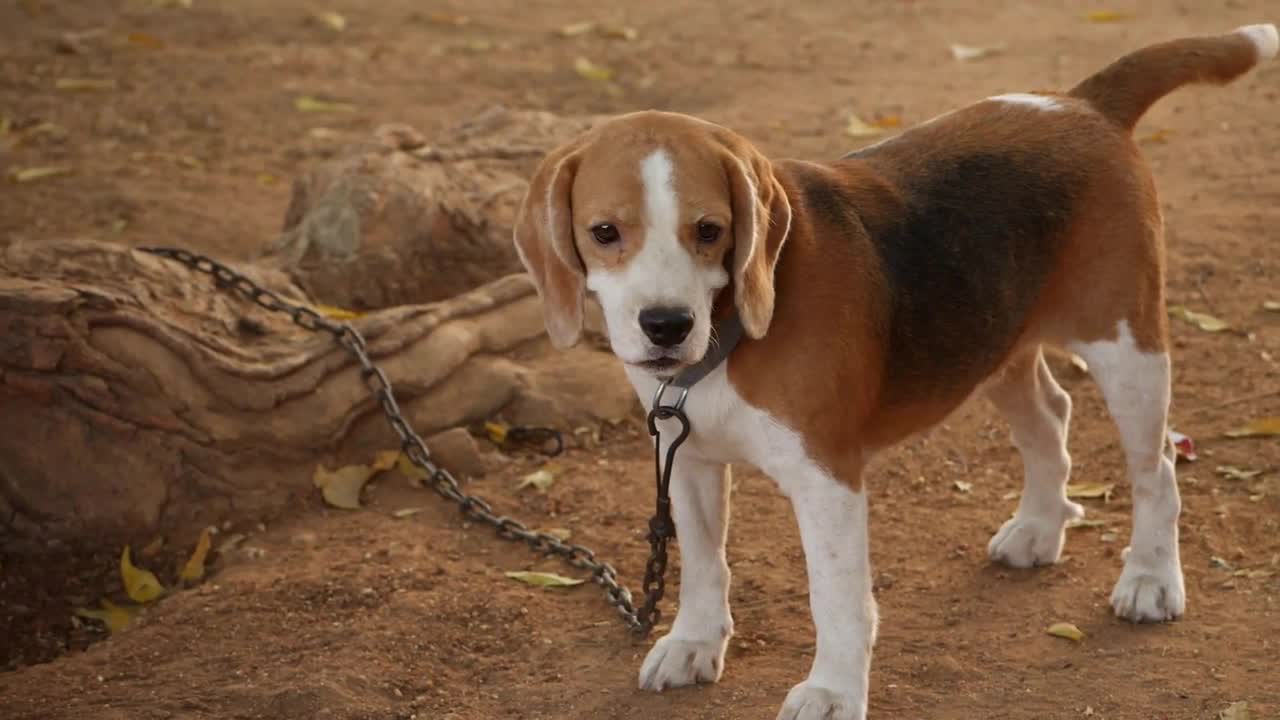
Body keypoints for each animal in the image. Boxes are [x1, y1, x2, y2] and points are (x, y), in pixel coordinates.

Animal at [506, 25, 1269, 717]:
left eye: (710, 231)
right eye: (605, 232)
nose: (665, 325)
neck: (729, 339)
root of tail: (1081, 103)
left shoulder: (827, 479)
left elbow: (837, 598)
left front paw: (833, 691)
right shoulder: (685, 459)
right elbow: (702, 563)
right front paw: (694, 643)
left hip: (1128, 349)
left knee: (1156, 468)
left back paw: (1150, 578)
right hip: (994, 344)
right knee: (1052, 417)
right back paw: (1040, 527)